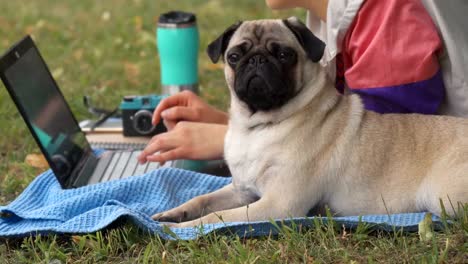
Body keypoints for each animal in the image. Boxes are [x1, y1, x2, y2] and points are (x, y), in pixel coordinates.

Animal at [152, 17, 466, 228]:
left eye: (284, 54)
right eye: (234, 56)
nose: (256, 60)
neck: (257, 127)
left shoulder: (279, 204)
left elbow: (219, 217)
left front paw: (182, 228)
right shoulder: (242, 190)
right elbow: (203, 200)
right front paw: (175, 213)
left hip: (444, 197)